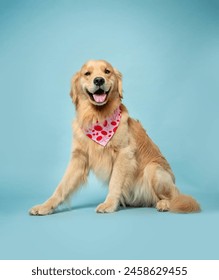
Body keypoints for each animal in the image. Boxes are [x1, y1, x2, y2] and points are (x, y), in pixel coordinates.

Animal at [29, 60, 200, 215]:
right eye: (87, 73)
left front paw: (109, 204)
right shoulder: (79, 157)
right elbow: (62, 187)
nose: (99, 80)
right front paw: (45, 206)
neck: (97, 117)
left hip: (154, 170)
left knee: (174, 197)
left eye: (107, 71)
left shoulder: (124, 154)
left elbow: (115, 182)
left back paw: (165, 204)